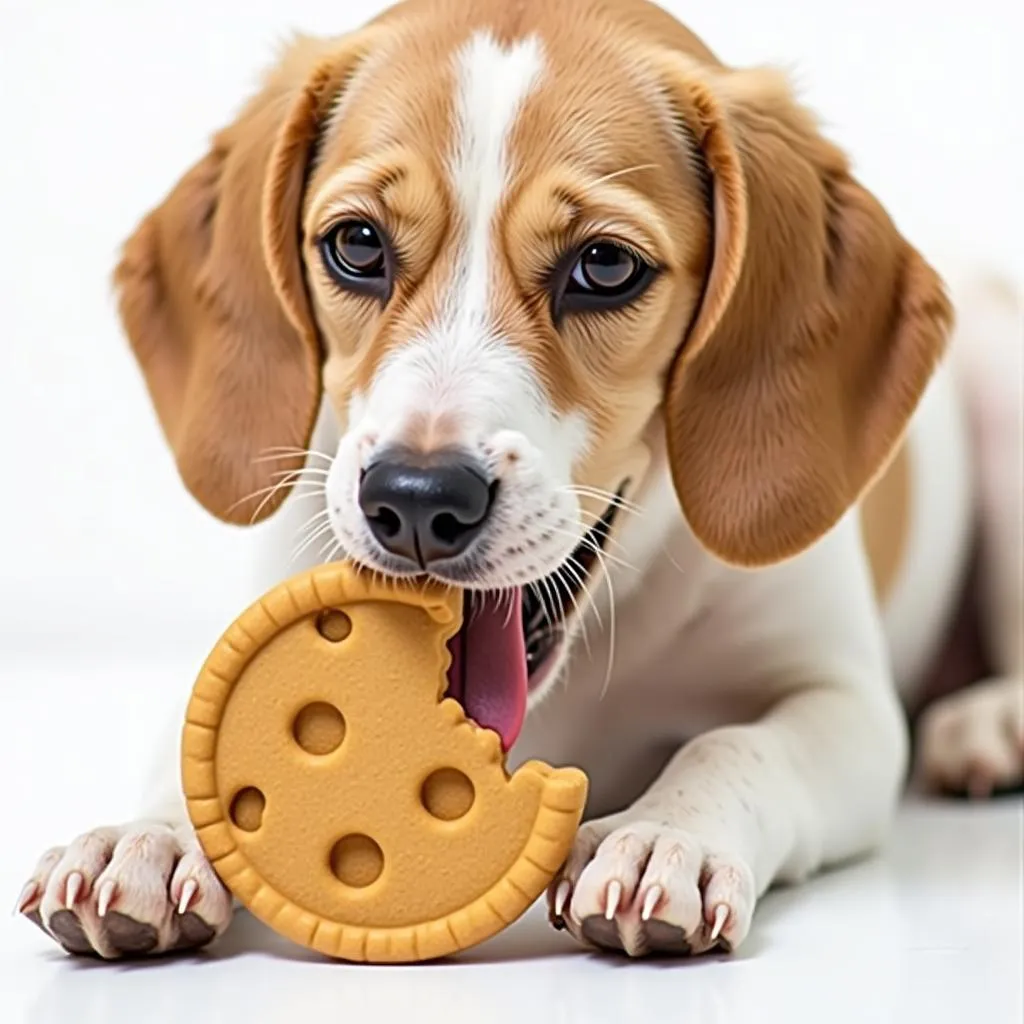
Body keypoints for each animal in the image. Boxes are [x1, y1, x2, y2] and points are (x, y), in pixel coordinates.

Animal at [18, 0, 1024, 958]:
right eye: (357, 244)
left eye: (605, 265)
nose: (416, 502)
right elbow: (194, 748)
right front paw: (150, 837)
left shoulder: (845, 705)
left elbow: (734, 745)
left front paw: (665, 836)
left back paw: (989, 725)